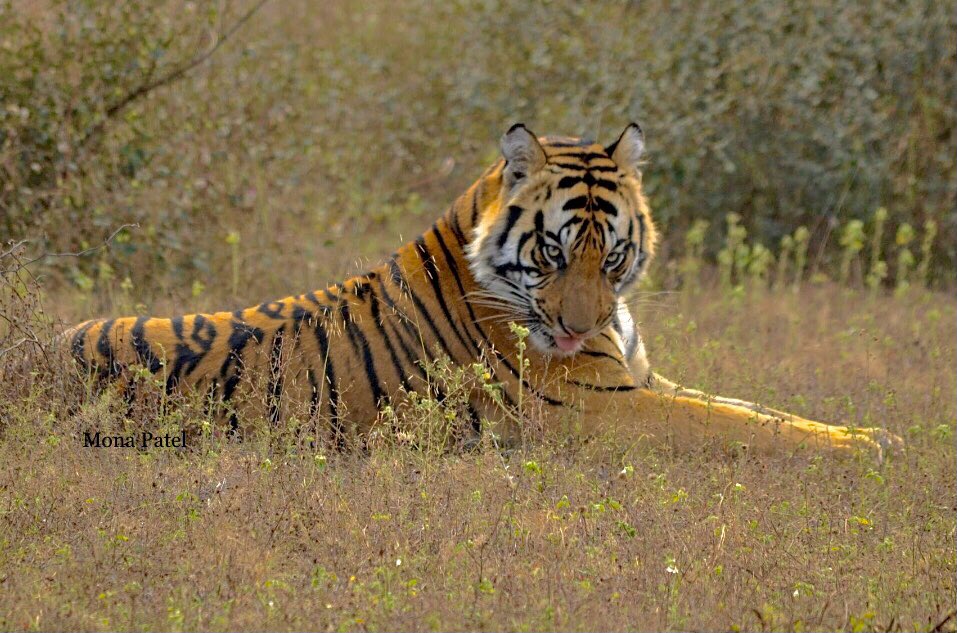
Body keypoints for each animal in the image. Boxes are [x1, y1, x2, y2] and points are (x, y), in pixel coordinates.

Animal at [65, 123, 896, 456]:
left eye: (611, 254)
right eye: (552, 253)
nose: (574, 326)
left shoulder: (642, 379)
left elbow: (759, 410)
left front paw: (874, 435)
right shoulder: (603, 408)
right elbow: (744, 428)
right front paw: (868, 450)